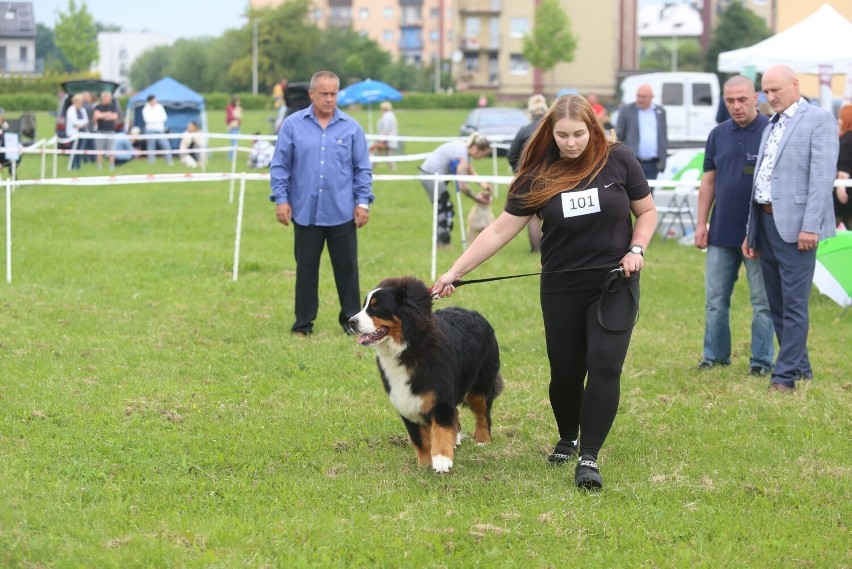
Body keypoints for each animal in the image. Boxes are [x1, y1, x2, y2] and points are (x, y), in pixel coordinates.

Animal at [348, 276, 502, 470]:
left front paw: (442, 459)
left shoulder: (440, 397)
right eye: (365, 305)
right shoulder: (406, 400)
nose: (350, 321)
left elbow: (441, 430)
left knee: (483, 414)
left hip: (480, 386)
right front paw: (425, 465)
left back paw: (483, 440)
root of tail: (475, 313)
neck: (409, 347)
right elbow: (419, 439)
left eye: (376, 306)